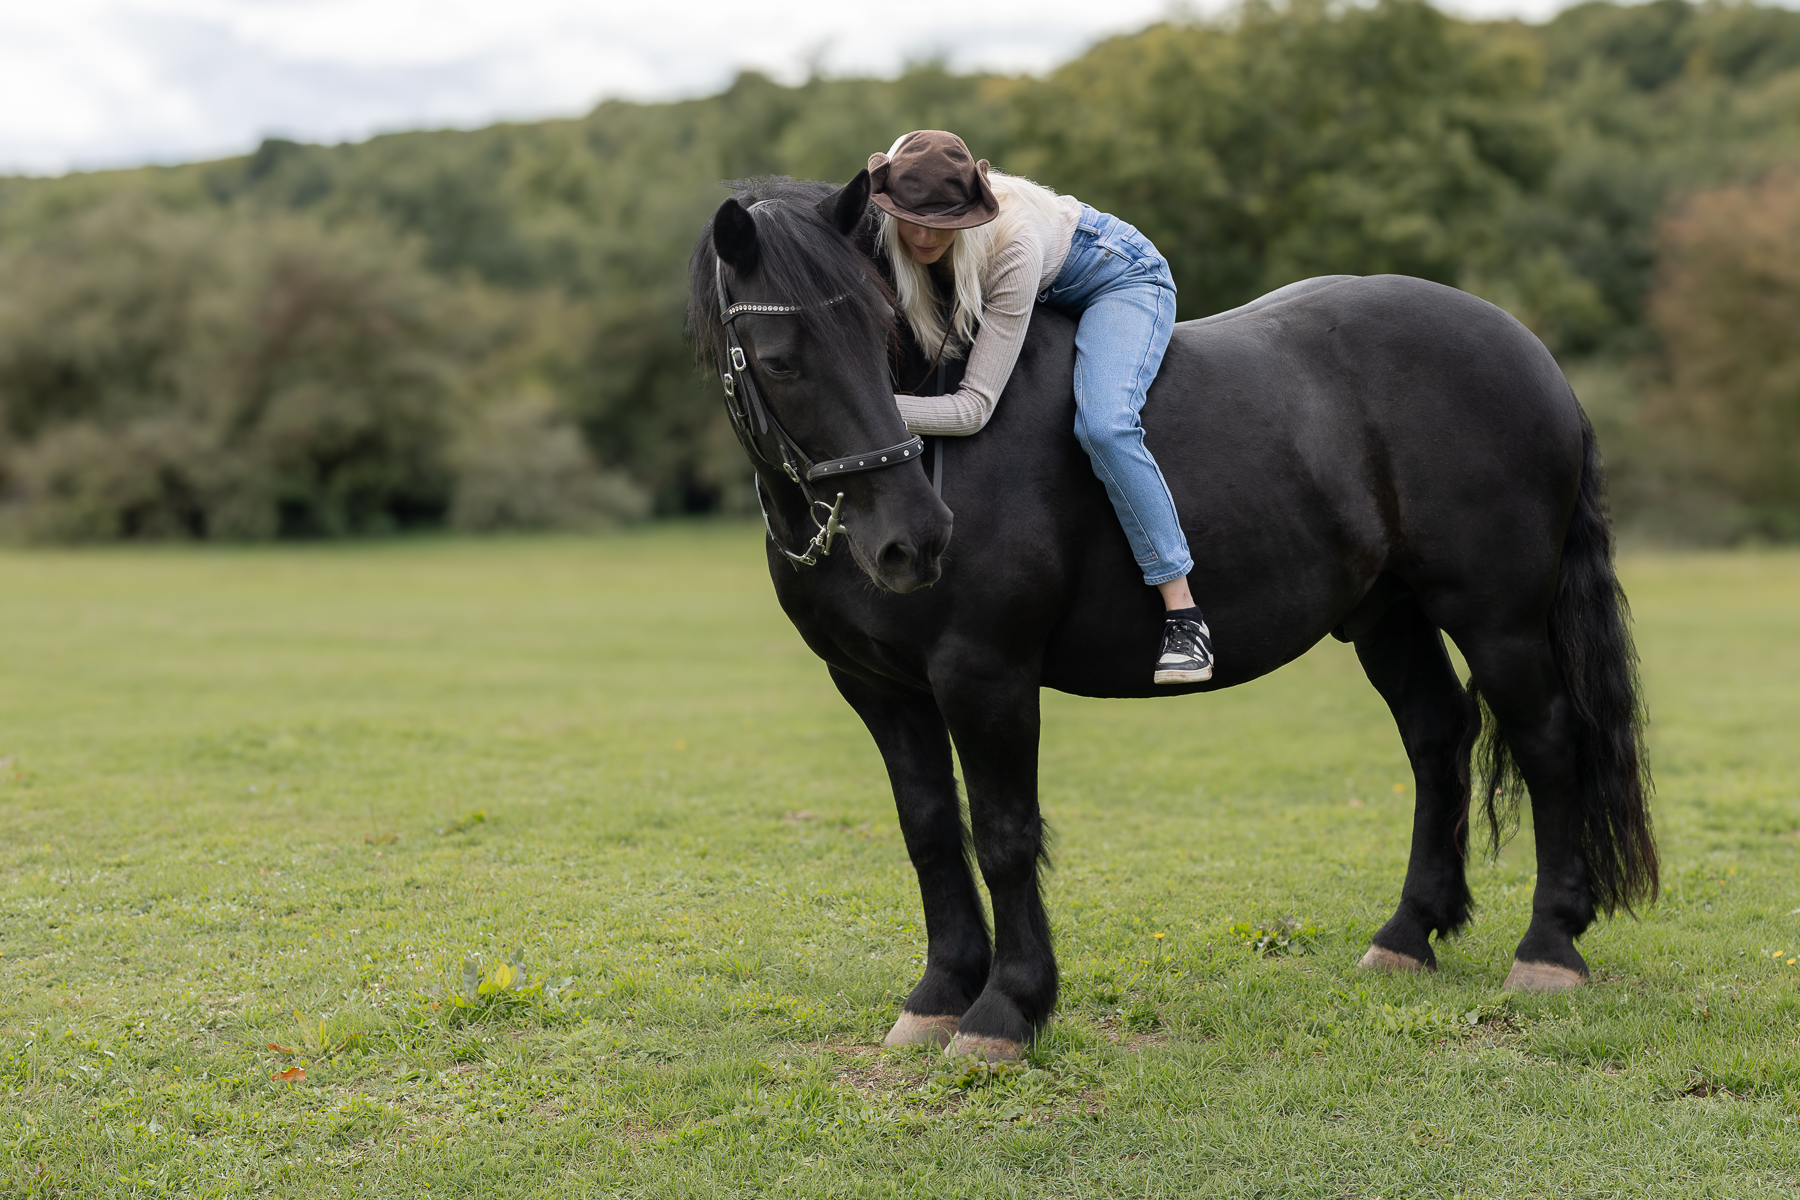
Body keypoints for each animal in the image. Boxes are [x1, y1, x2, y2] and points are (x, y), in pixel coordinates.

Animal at [686, 171, 1656, 1062]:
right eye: (779, 359)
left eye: (881, 332)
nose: (915, 542)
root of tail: (1528, 350)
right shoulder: (877, 689)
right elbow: (929, 833)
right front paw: (937, 995)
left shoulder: (985, 675)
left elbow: (1003, 836)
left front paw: (1006, 1009)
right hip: (1388, 617)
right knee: (1437, 737)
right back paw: (1408, 934)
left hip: (1498, 619)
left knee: (1549, 740)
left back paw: (1548, 947)